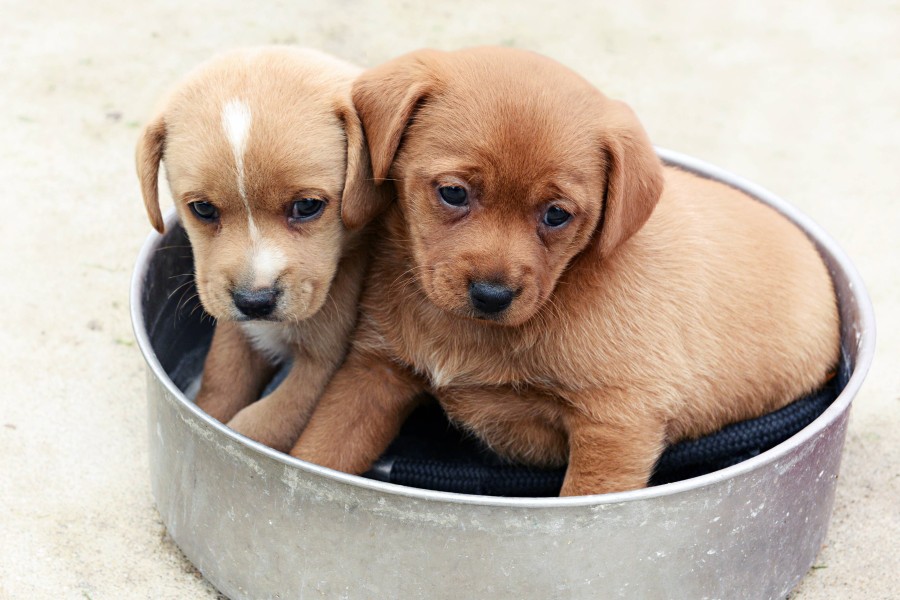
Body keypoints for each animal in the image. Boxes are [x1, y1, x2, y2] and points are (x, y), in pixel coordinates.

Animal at [136, 47, 384, 450]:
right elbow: (220, 384)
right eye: (202, 209)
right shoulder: (237, 332)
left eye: (307, 206)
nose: (254, 302)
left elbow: (258, 426)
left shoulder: (321, 368)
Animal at [290, 48, 844, 496]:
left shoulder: (617, 422)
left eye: (557, 214)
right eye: (453, 193)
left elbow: (589, 497)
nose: (492, 294)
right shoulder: (373, 374)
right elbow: (319, 452)